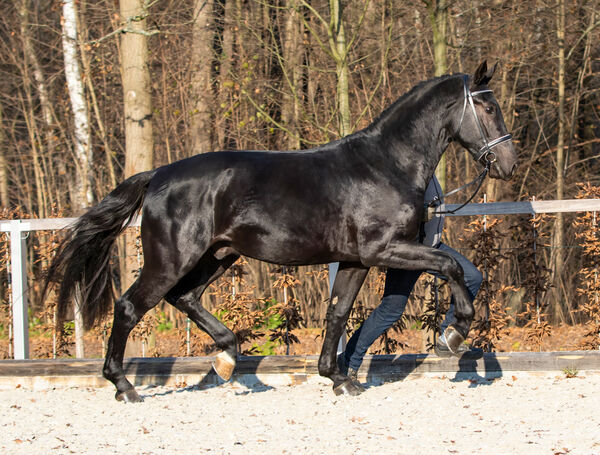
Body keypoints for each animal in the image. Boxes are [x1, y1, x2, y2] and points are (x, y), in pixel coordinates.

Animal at [45, 61, 516, 402]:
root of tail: (158, 175)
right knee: (130, 307)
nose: (509, 164)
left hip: (217, 256)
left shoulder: (355, 260)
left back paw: (226, 358)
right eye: (489, 108)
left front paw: (339, 379)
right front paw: (454, 335)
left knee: (185, 298)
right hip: (172, 258)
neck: (386, 164)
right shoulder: (384, 249)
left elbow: (338, 313)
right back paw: (124, 386)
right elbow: (450, 265)